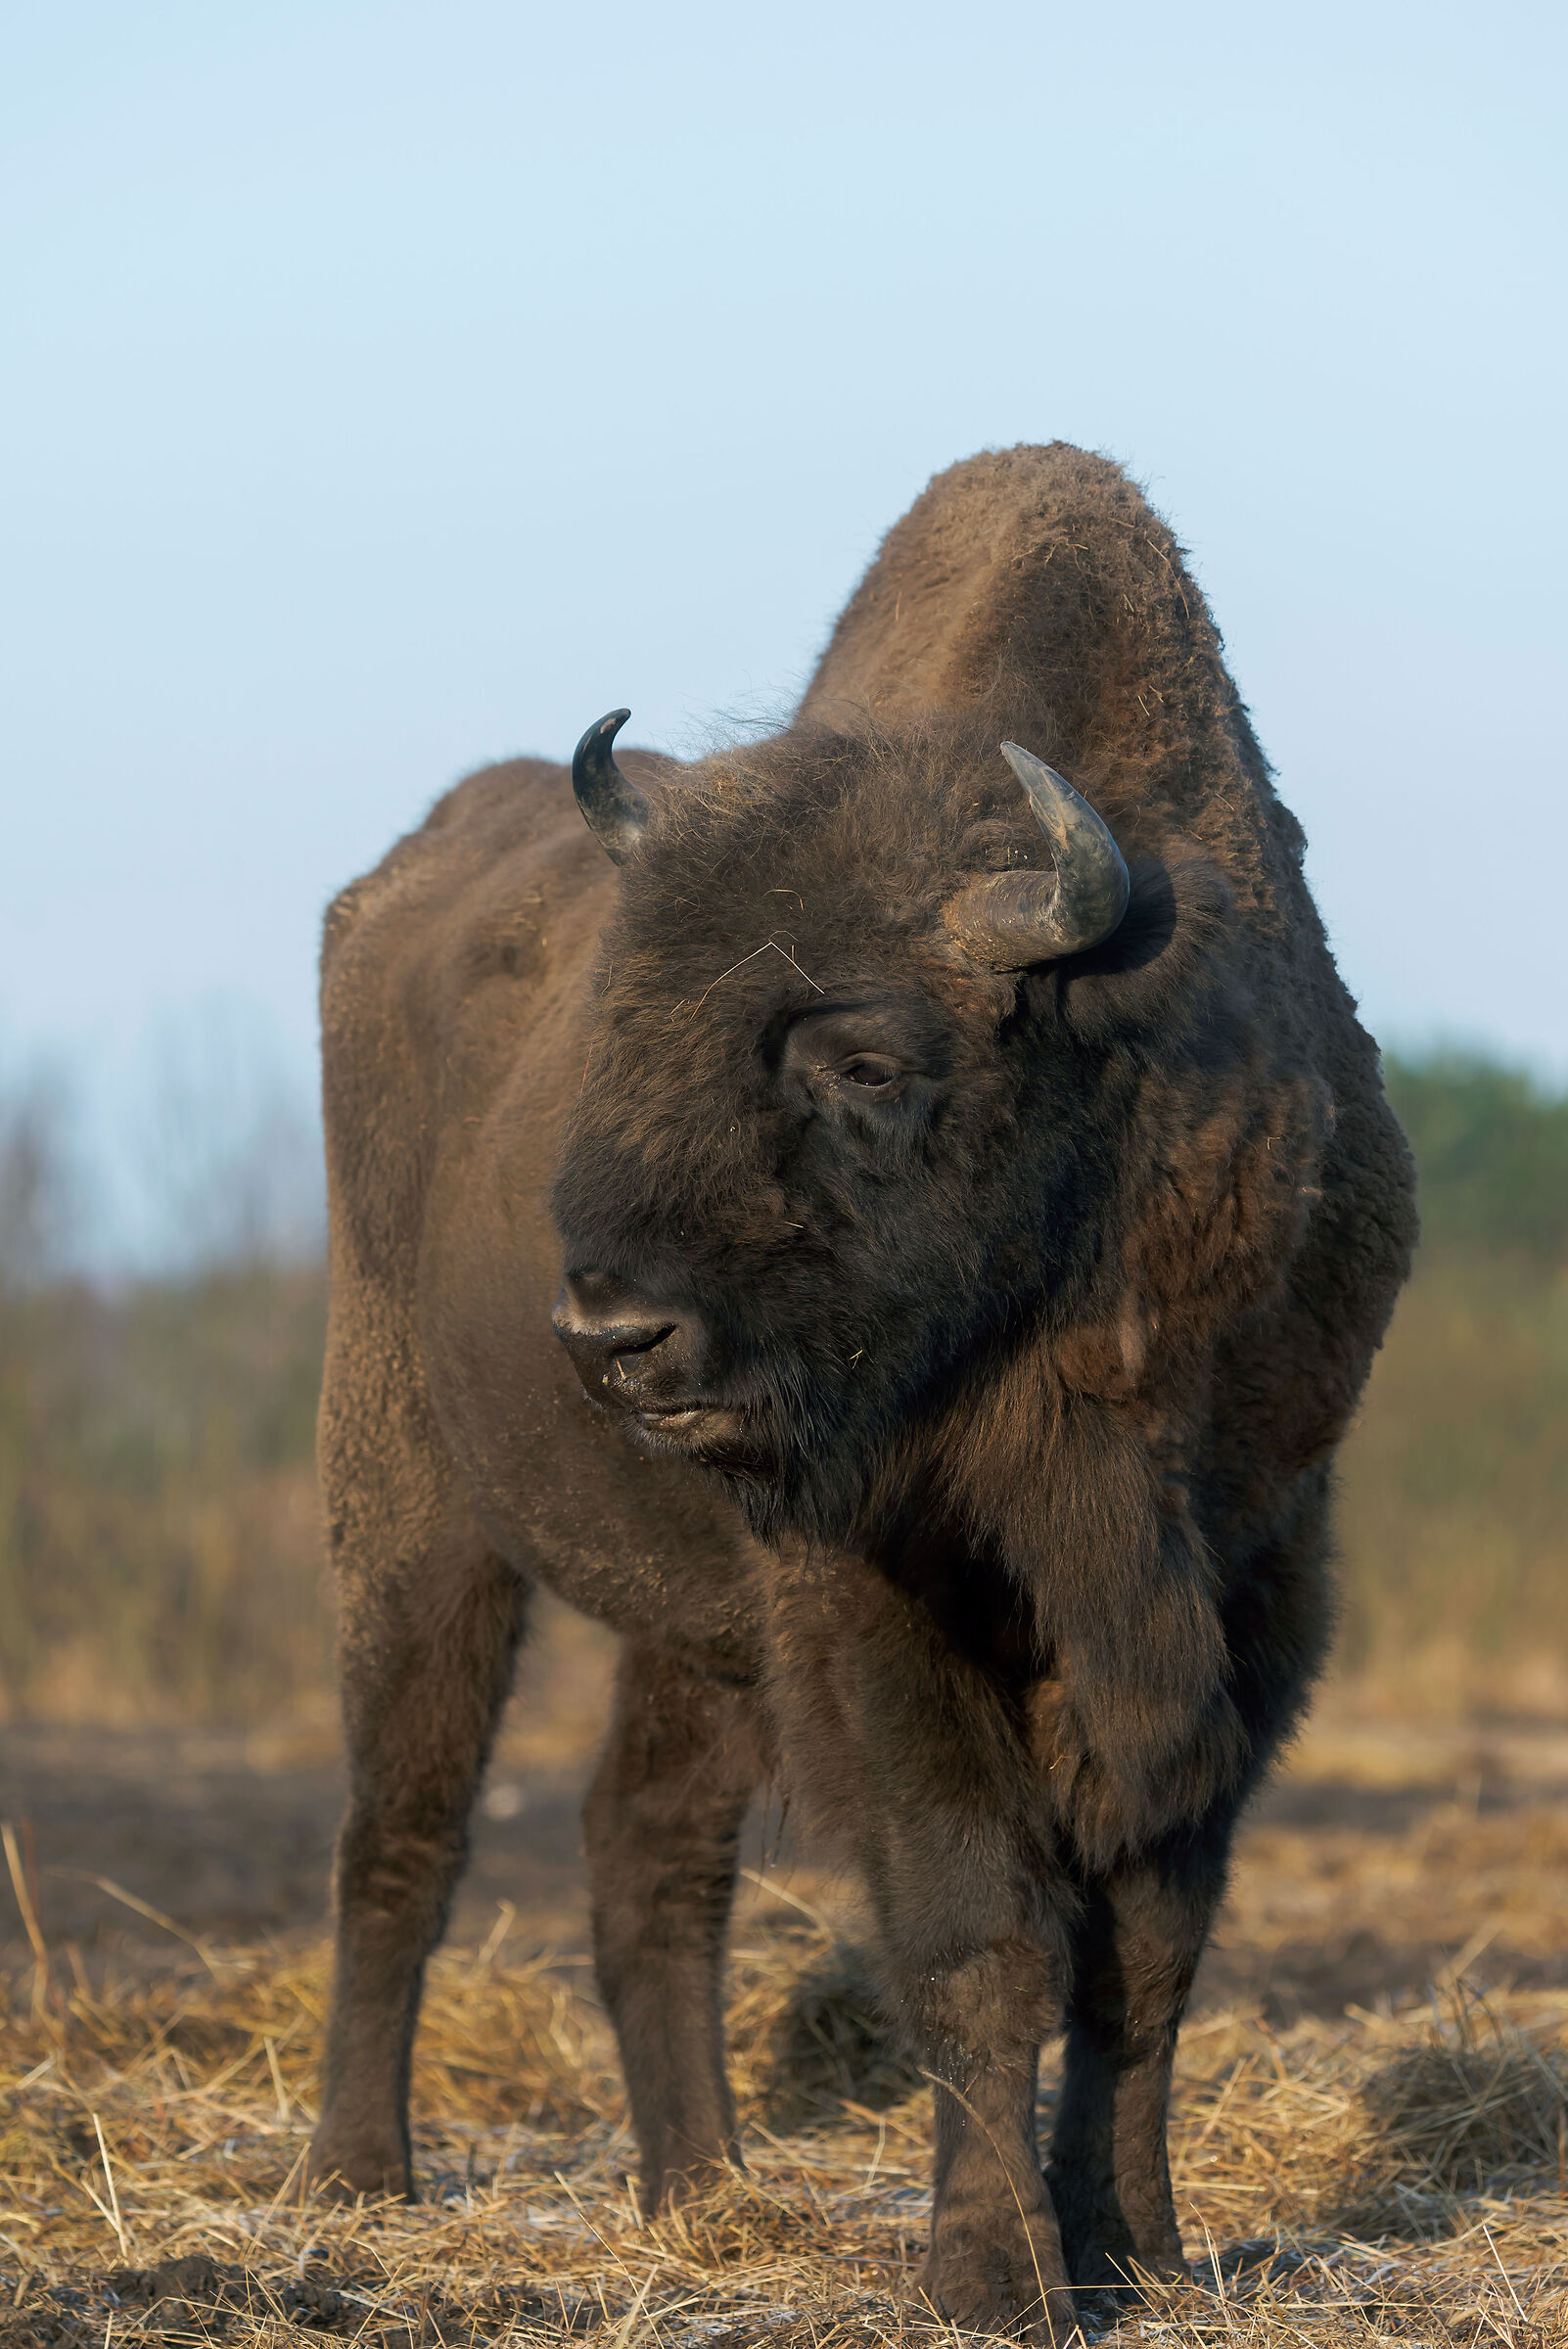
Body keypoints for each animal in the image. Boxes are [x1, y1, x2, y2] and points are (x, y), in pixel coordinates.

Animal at [306, 443, 1416, 2339]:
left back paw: (702, 2194)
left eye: (866, 1061)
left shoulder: (1251, 1579)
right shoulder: (876, 1602)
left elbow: (1148, 1945)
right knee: (406, 1821)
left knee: (646, 1852)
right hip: (412, 1506)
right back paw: (358, 2186)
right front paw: (991, 2273)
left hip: (692, 1628)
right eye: (623, 1030)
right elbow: (982, 1931)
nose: (613, 1336)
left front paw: (1134, 2245)